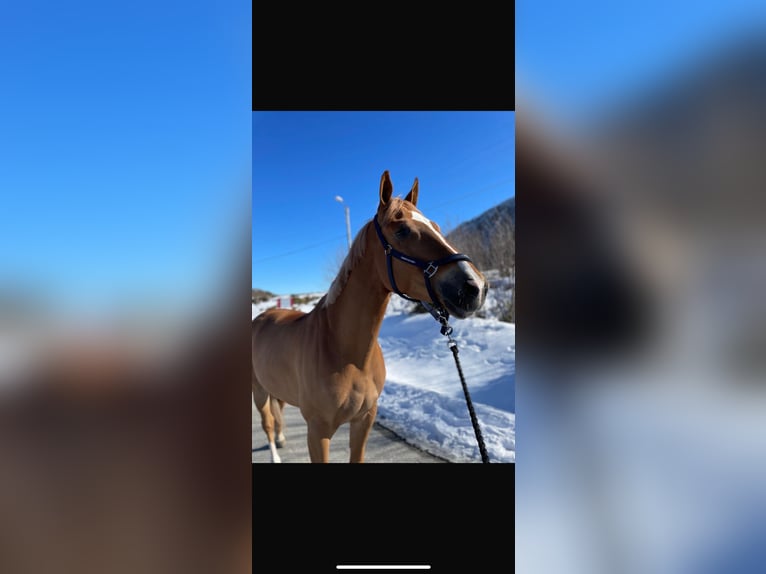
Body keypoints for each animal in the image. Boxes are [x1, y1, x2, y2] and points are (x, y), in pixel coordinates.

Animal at [252, 170, 488, 462]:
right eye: (402, 230)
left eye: (436, 227)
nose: (475, 286)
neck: (346, 352)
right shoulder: (317, 432)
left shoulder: (364, 420)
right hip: (258, 391)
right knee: (267, 423)